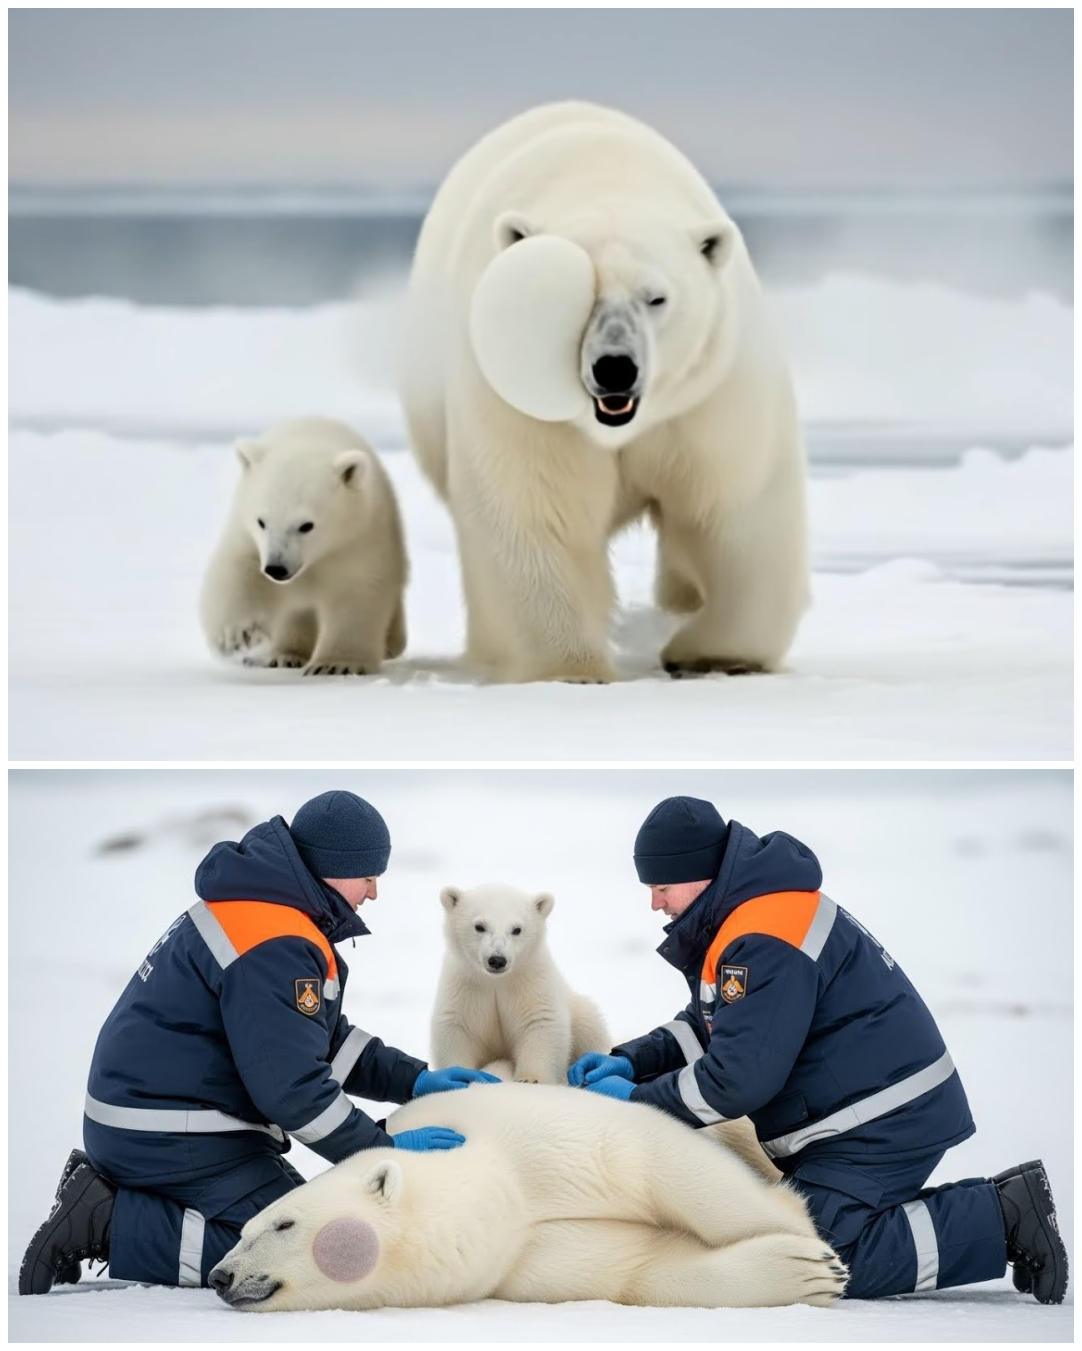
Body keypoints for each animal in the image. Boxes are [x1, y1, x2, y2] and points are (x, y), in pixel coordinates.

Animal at [200, 416, 407, 676]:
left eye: (306, 525)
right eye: (261, 522)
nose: (276, 569)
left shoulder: (357, 541)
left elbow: (358, 592)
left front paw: (335, 664)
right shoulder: (247, 537)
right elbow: (239, 572)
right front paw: (238, 636)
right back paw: (283, 656)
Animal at [210, 1082, 847, 1312]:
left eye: (283, 1224)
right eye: (241, 1230)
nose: (220, 1276)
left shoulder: (544, 1134)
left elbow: (661, 1160)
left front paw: (809, 1245)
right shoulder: (525, 1262)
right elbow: (640, 1267)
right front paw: (805, 1271)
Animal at [400, 100, 809, 684]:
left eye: (655, 297)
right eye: (571, 298)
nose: (615, 368)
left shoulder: (706, 397)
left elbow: (733, 509)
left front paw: (714, 653)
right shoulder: (519, 406)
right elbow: (535, 510)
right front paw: (569, 666)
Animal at [430, 883, 610, 1084]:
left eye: (517, 929)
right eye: (479, 926)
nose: (497, 960)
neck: (497, 981)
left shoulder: (530, 979)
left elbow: (540, 1020)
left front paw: (531, 1078)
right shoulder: (466, 984)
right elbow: (457, 1026)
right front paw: (459, 1075)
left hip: (581, 1013)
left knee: (589, 1026)